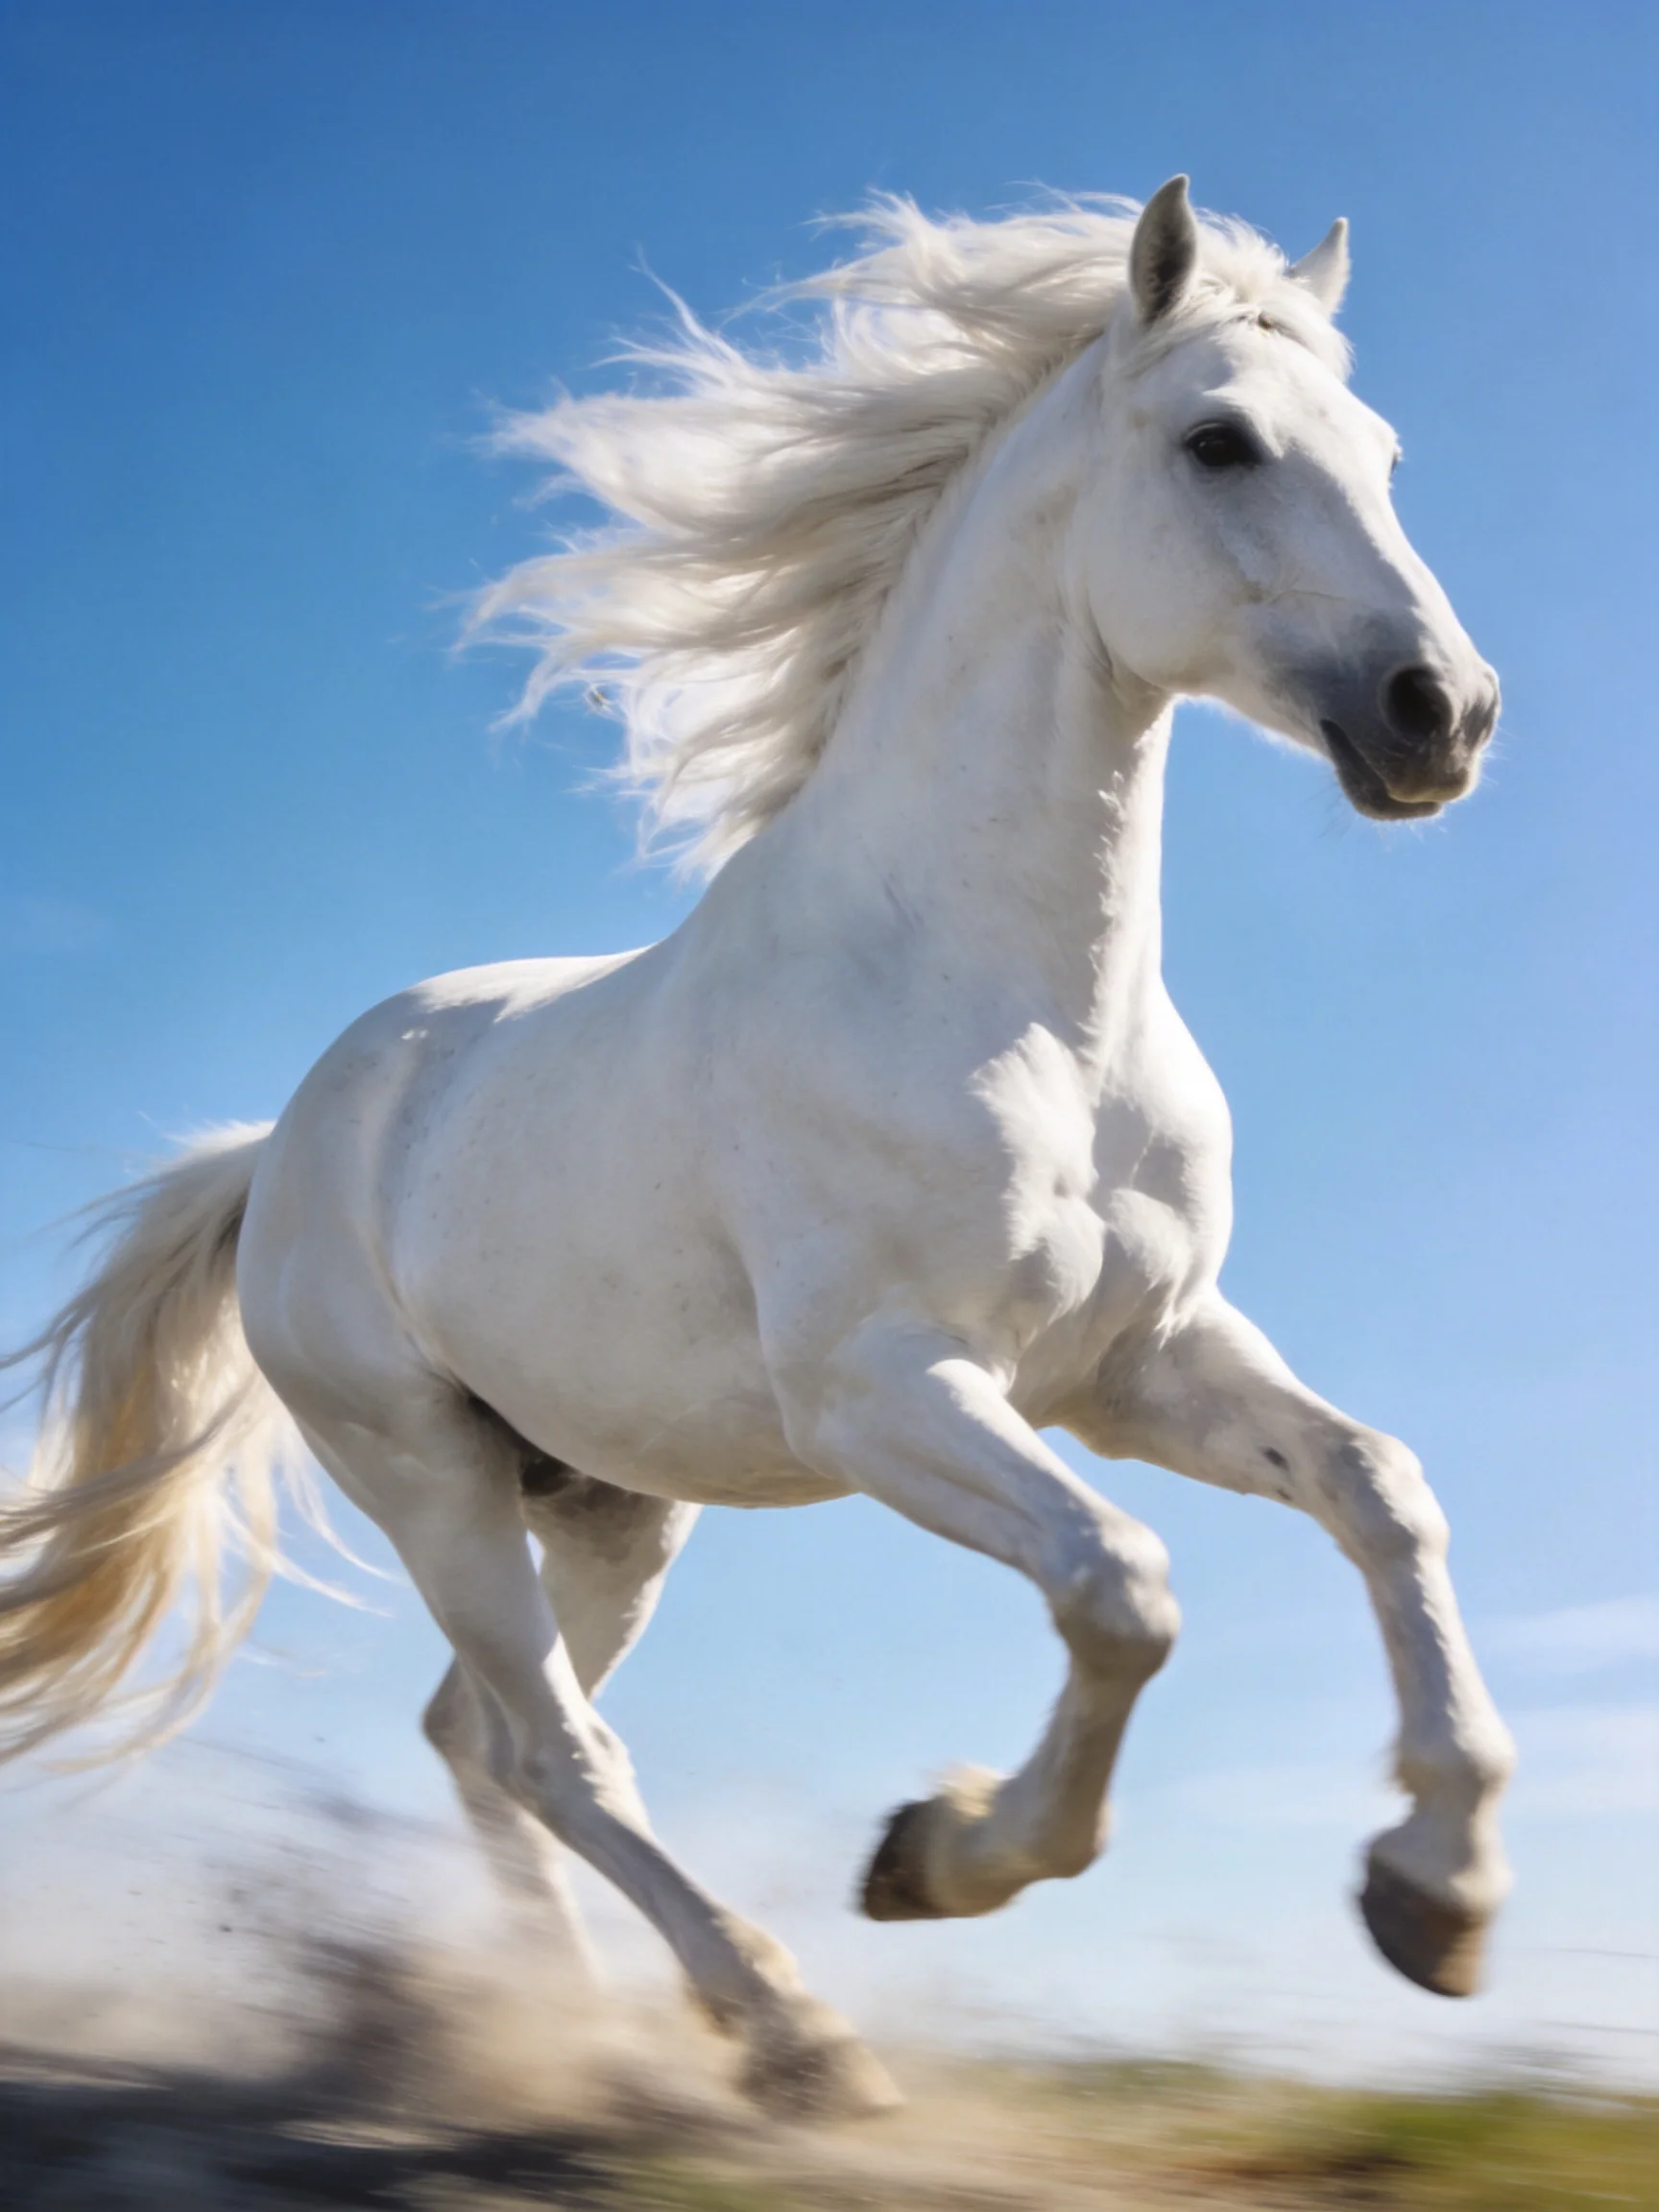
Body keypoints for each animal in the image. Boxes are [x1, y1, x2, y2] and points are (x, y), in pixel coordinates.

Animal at [1, 178, 1515, 2119]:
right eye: (1219, 441)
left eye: (1385, 452)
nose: (1440, 713)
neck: (1010, 1001)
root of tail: (281, 1146)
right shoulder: (887, 1389)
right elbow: (1122, 1588)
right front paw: (938, 1853)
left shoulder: (1138, 1362)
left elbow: (1380, 1487)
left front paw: (1436, 1893)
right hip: (426, 1472)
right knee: (557, 1747)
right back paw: (785, 2033)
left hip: (611, 1498)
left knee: (483, 1740)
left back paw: (573, 2026)